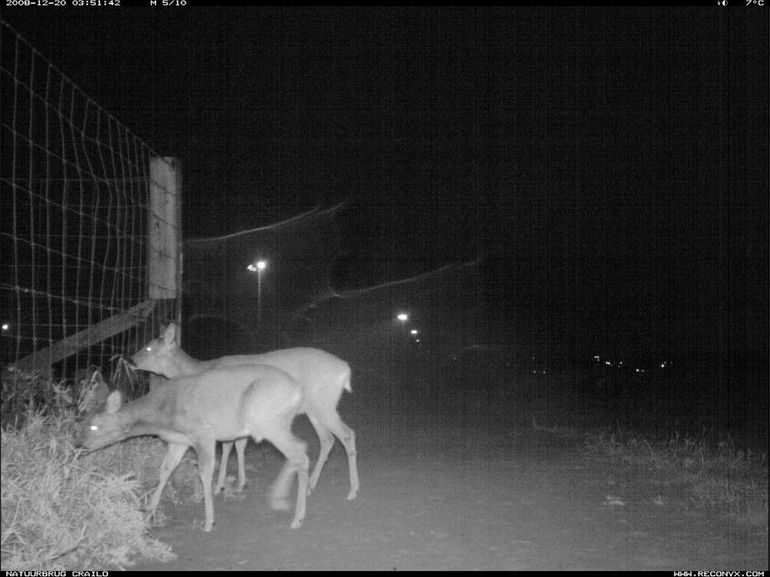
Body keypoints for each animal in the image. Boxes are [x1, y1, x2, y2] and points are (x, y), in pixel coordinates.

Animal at [77, 364, 306, 532]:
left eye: (94, 426)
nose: (79, 445)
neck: (163, 414)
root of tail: (298, 391)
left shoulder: (202, 434)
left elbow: (204, 473)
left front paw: (208, 522)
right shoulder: (179, 441)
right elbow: (165, 470)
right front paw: (149, 513)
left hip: (266, 420)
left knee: (299, 455)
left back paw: (296, 517)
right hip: (278, 422)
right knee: (300, 449)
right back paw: (285, 502)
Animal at [130, 324, 358, 500]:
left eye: (148, 347)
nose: (130, 360)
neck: (200, 370)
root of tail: (345, 370)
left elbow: (228, 447)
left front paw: (219, 486)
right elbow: (239, 445)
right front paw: (240, 483)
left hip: (322, 403)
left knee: (347, 434)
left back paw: (352, 490)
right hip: (315, 408)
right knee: (327, 439)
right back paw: (311, 485)